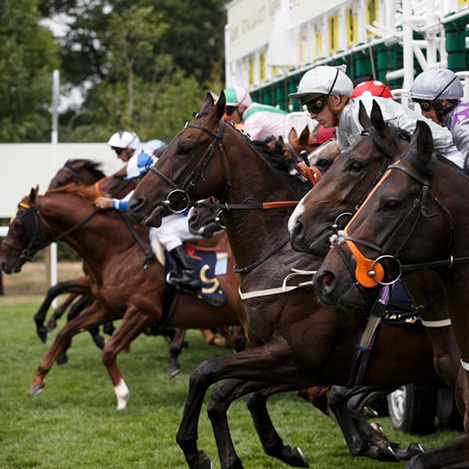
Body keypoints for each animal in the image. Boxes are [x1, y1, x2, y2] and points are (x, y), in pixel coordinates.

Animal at [0, 183, 241, 410]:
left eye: (18, 225)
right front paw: (38, 379)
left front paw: (122, 395)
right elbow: (66, 330)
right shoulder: (107, 307)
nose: (4, 262)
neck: (120, 251)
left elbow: (109, 351)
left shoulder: (143, 311)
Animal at [129, 92, 442, 468]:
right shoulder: (289, 360)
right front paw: (275, 449)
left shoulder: (294, 355)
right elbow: (229, 393)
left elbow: (207, 375)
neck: (280, 255)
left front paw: (198, 449)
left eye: (185, 147)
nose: (135, 202)